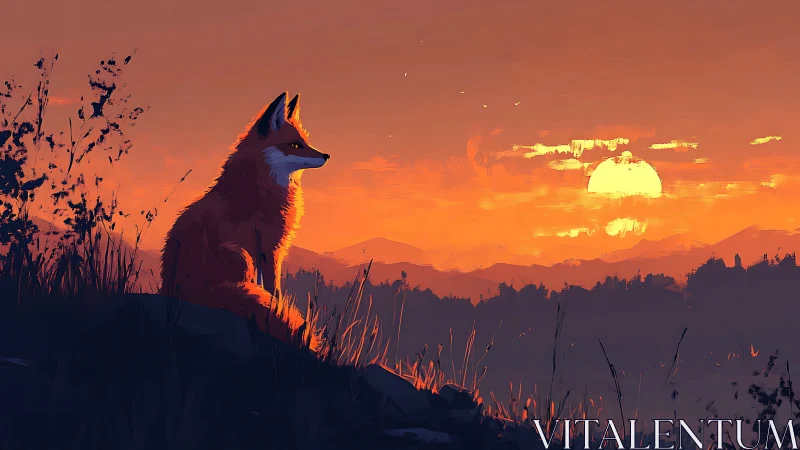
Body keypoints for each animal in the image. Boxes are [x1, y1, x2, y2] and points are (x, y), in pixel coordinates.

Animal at [160, 92, 329, 350]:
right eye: (294, 145)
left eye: (305, 141)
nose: (326, 155)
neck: (259, 186)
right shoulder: (269, 249)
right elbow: (274, 292)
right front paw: (277, 312)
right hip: (240, 255)